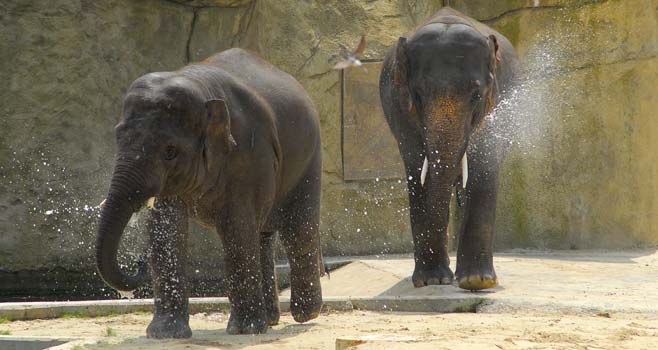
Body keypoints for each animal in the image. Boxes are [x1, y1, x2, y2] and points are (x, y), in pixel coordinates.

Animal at [95, 47, 322, 338]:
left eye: (170, 151)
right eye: (118, 136)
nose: (139, 263)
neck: (199, 85)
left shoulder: (249, 152)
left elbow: (236, 226)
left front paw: (244, 331)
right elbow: (166, 228)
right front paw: (165, 334)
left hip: (310, 156)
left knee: (297, 228)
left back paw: (305, 314)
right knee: (262, 233)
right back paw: (272, 320)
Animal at [376, 8, 520, 292]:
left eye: (476, 95)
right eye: (418, 96)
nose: (439, 278)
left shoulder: (497, 103)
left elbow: (484, 165)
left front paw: (477, 282)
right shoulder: (400, 109)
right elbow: (417, 170)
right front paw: (431, 281)